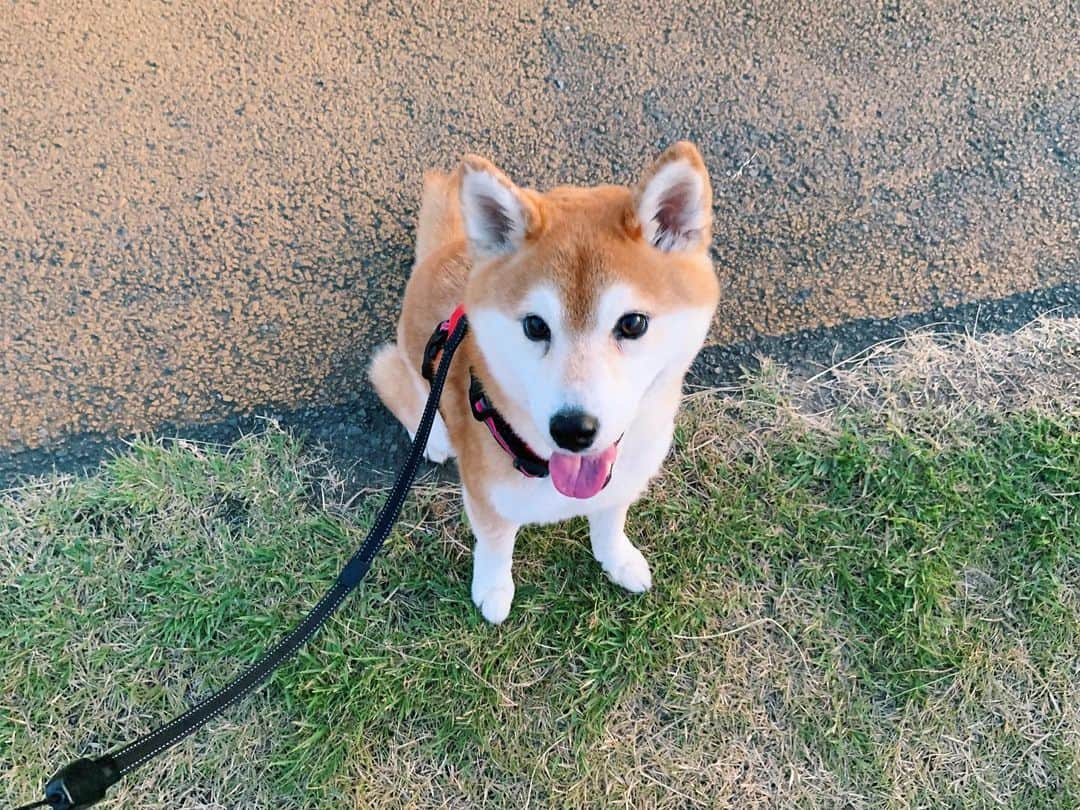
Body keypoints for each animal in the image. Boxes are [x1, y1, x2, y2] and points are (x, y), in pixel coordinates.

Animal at [369, 142, 717, 626]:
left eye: (633, 323)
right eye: (535, 326)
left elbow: (610, 521)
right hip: (414, 357)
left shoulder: (621, 482)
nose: (574, 429)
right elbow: (495, 545)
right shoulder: (486, 497)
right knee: (398, 384)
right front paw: (493, 589)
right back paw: (434, 436)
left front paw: (618, 559)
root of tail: (449, 248)